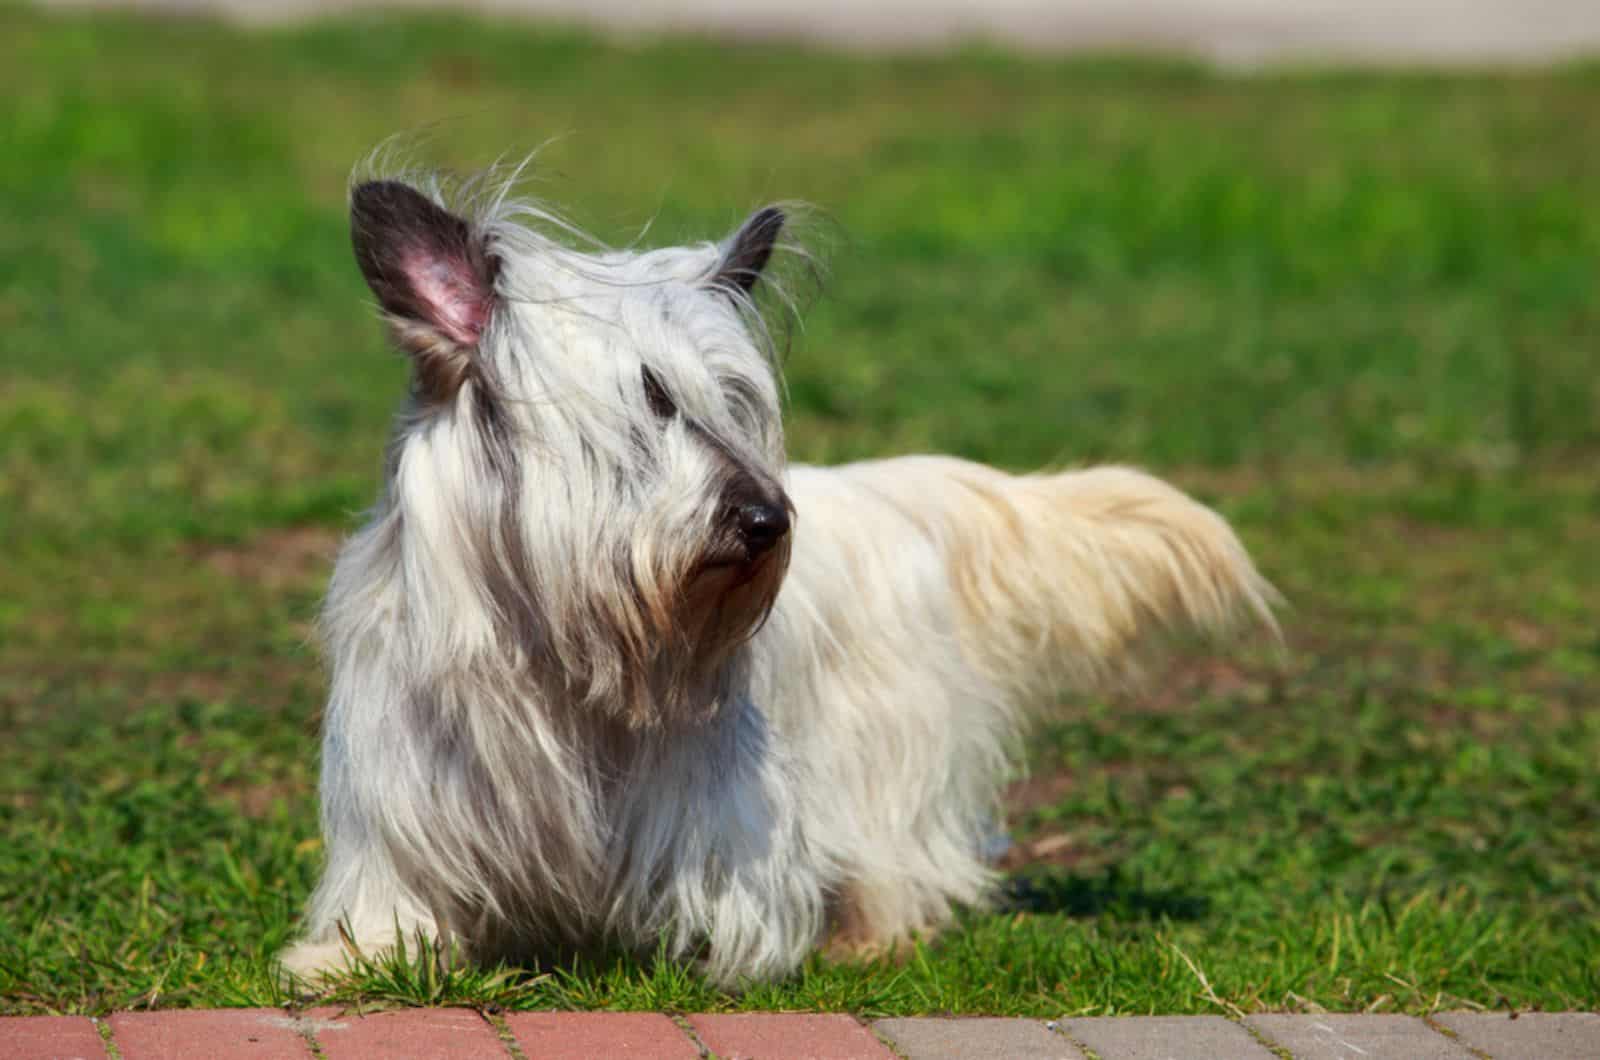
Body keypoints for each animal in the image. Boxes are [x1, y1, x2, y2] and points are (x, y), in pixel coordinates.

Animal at [278, 170, 1273, 992]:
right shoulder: (409, 783)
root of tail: (885, 493)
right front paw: (356, 958)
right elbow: (399, 889)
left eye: (733, 402)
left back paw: (869, 935)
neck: (559, 650)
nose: (767, 520)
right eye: (651, 401)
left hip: (883, 752)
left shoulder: (716, 799)